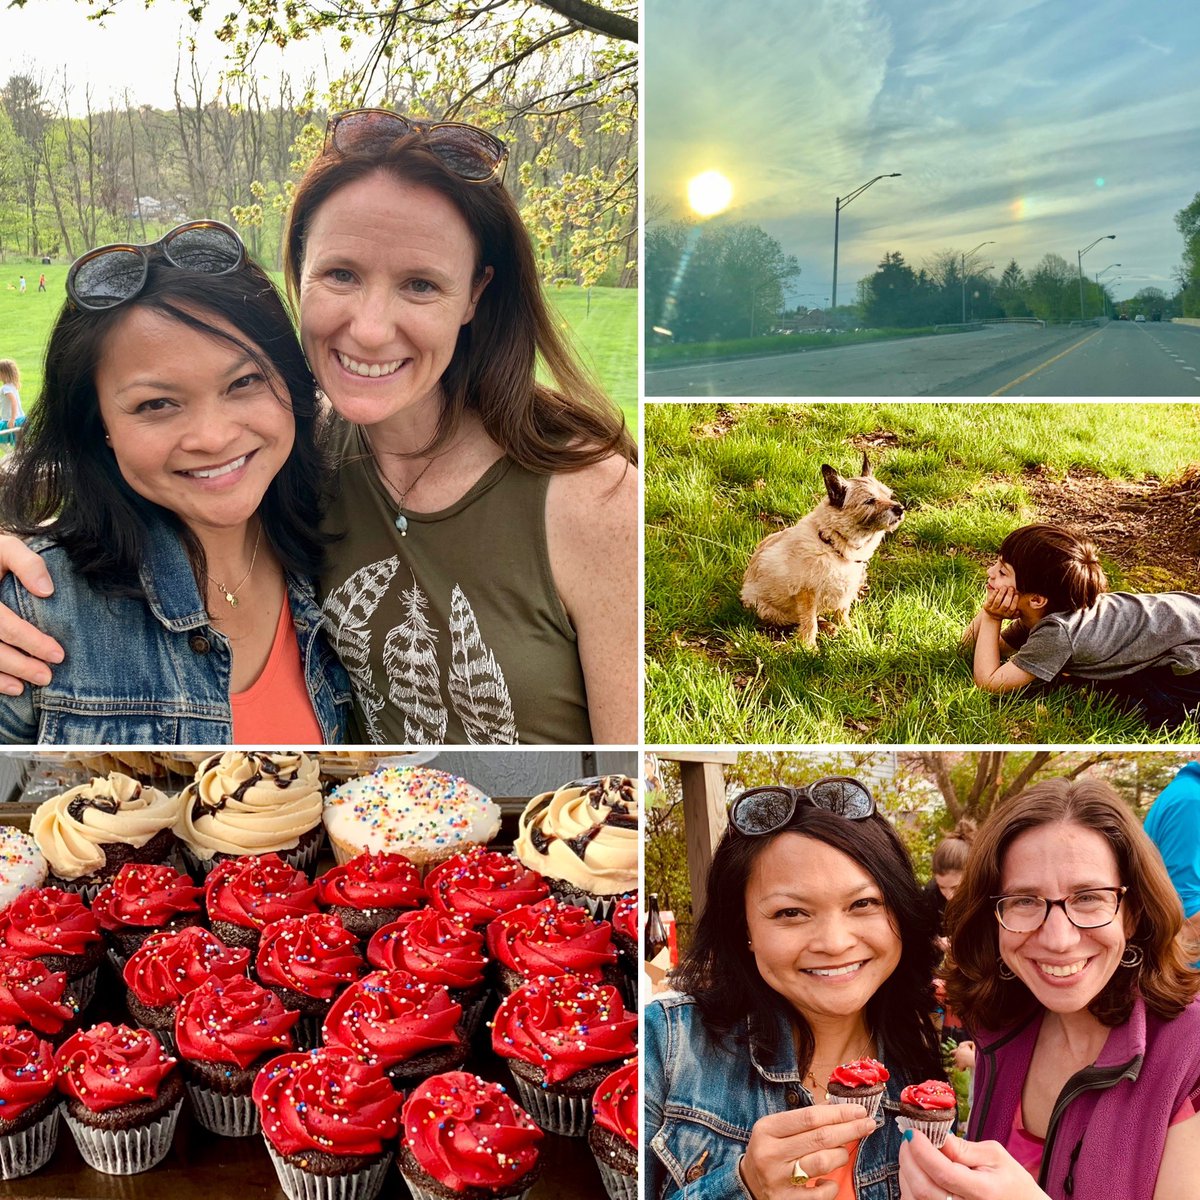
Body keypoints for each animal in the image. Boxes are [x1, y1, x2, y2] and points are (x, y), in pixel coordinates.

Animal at [734, 451, 902, 643]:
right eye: (870, 501)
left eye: (889, 495)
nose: (900, 509)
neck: (834, 545)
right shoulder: (807, 594)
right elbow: (809, 622)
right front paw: (809, 646)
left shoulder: (845, 592)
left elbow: (842, 613)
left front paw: (850, 632)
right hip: (768, 610)